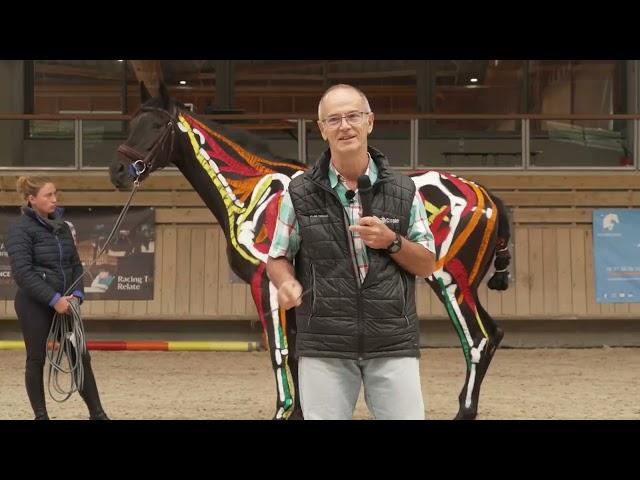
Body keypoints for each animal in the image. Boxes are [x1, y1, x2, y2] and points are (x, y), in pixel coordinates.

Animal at [109, 83, 510, 420]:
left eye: (157, 124)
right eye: (132, 122)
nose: (119, 171)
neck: (249, 194)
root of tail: (487, 196)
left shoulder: (265, 285)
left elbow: (279, 352)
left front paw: (283, 412)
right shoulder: (294, 293)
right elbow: (299, 354)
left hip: (451, 281)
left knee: (477, 340)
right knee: (491, 336)